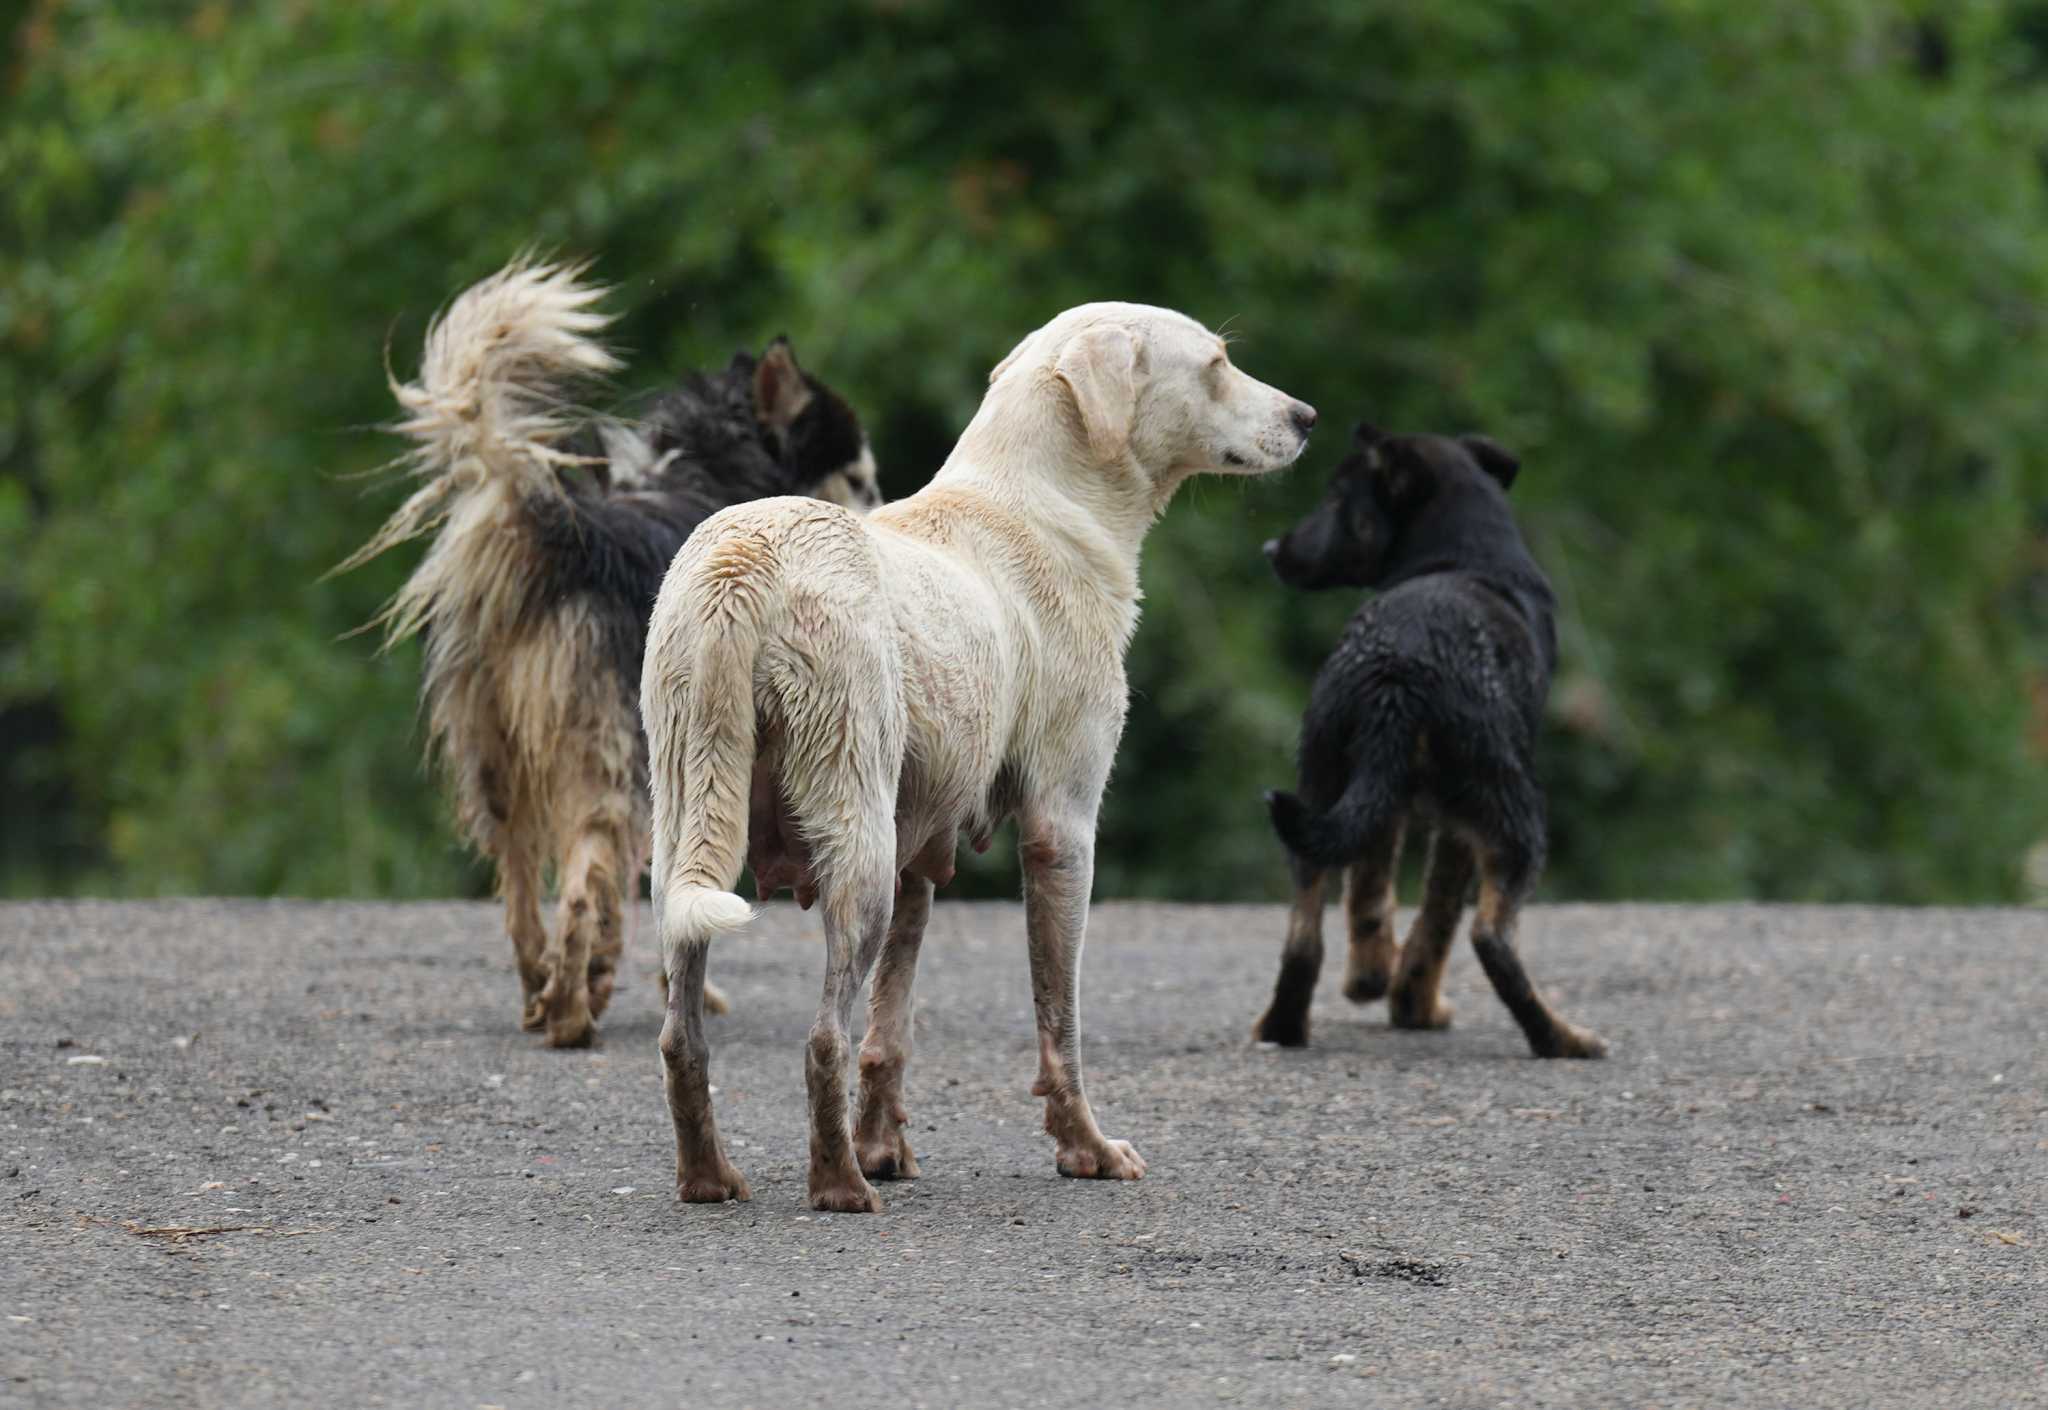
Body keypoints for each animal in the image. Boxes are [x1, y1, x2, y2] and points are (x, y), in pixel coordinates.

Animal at [352, 256, 880, 1045]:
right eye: (858, 479)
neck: (716, 466)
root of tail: (563, 543)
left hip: (496, 756)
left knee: (519, 884)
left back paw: (542, 989)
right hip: (606, 752)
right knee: (581, 882)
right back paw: (572, 1009)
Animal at [638, 299, 1310, 1213]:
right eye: (1215, 365)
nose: (1308, 418)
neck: (1039, 503)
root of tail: (742, 569)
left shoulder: (922, 848)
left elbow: (892, 1027)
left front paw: (886, 1145)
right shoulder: (1062, 829)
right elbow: (1059, 1020)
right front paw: (1087, 1150)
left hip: (689, 835)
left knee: (686, 1037)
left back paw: (713, 1177)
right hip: (856, 850)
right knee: (822, 1039)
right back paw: (841, 1187)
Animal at [1245, 422, 1597, 1057]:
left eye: (1336, 500)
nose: (1270, 550)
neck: (1464, 553)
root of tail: (1398, 670)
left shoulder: (1380, 798)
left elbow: (1370, 892)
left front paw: (1371, 978)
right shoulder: (1457, 827)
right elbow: (1437, 917)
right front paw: (1414, 1002)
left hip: (1320, 784)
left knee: (1305, 929)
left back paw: (1283, 1026)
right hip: (1511, 812)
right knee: (1490, 936)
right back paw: (1561, 1038)